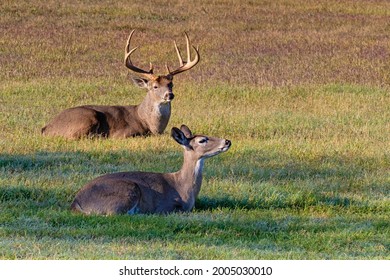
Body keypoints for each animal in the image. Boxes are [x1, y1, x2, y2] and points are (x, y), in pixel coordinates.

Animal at [41, 30, 200, 139]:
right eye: (155, 86)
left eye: (171, 84)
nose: (169, 95)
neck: (150, 124)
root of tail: (46, 128)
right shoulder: (124, 133)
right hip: (87, 116)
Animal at [70, 124, 232, 214]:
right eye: (202, 140)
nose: (227, 141)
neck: (183, 187)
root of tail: (76, 202)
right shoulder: (166, 205)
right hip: (127, 190)